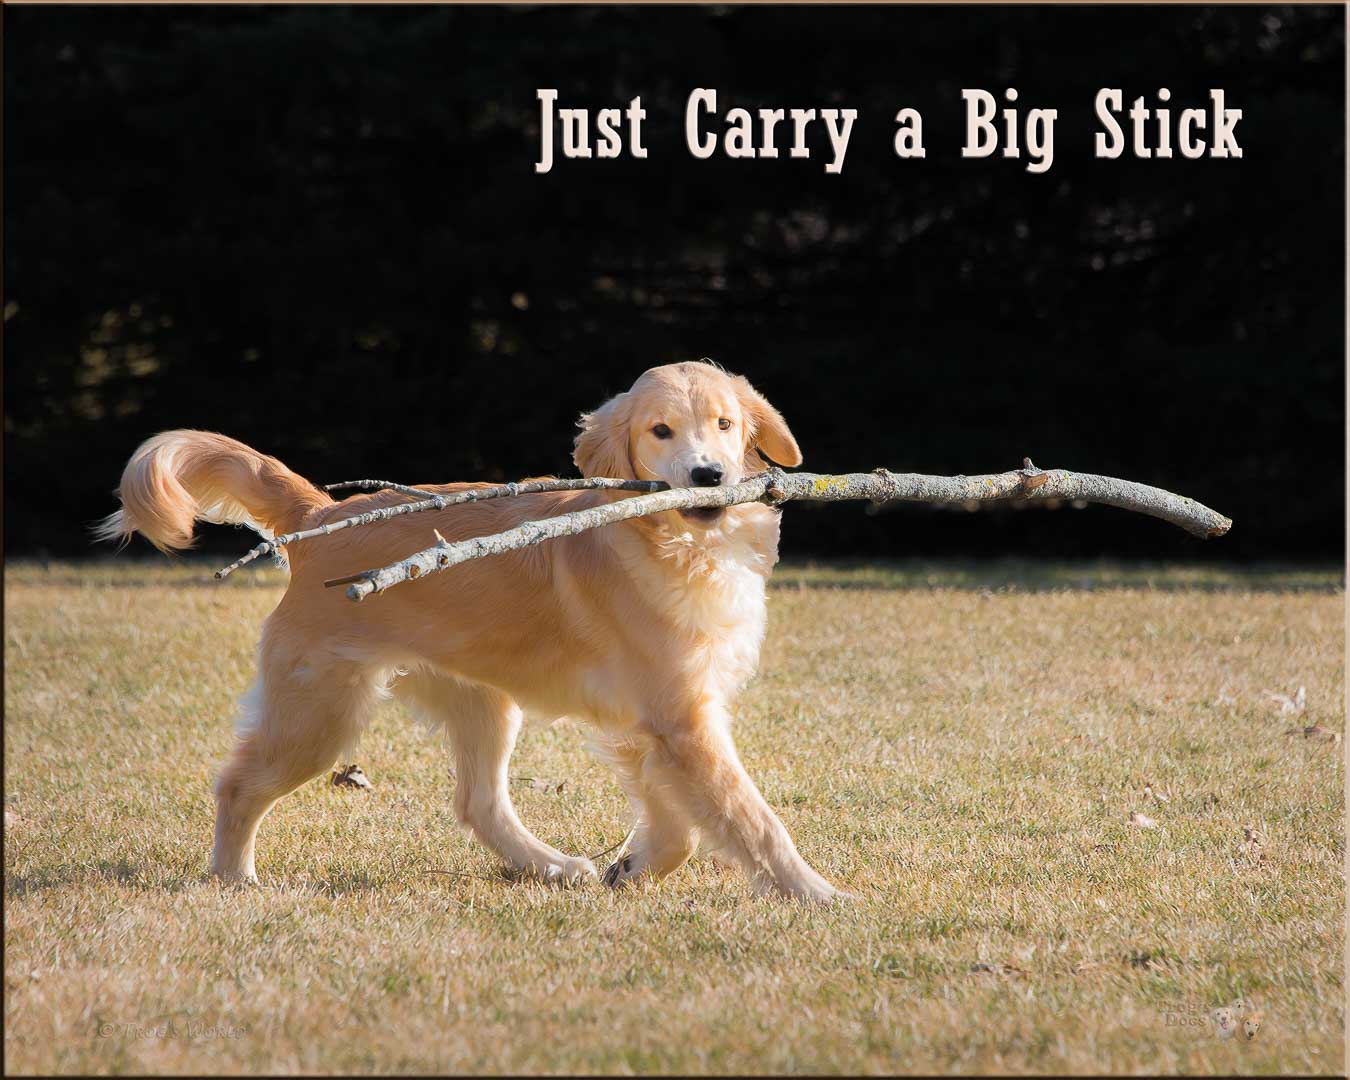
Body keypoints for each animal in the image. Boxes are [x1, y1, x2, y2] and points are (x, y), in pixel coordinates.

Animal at [99, 361, 842, 901]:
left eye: (724, 424)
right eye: (661, 431)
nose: (708, 476)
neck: (676, 543)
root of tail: (319, 515)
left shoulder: (649, 725)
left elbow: (680, 826)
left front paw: (633, 866)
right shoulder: (681, 720)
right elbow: (751, 817)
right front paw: (816, 895)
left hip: (481, 699)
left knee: (478, 803)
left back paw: (550, 866)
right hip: (318, 713)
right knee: (238, 785)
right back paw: (235, 877)